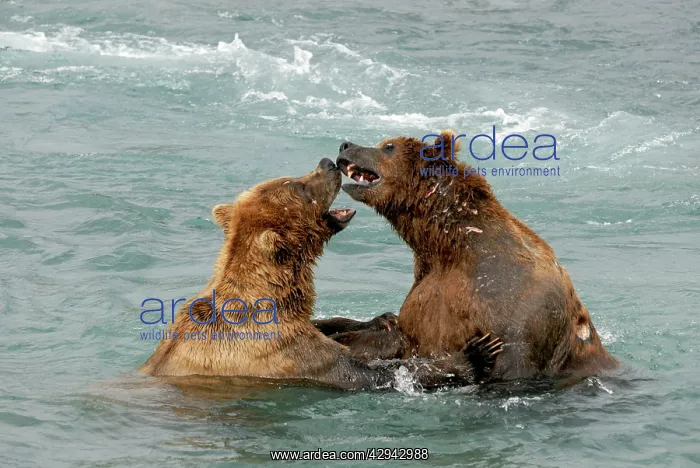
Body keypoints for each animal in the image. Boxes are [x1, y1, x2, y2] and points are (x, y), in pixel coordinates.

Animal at [139, 158, 504, 390]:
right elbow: (364, 371)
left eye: (289, 177)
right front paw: (476, 352)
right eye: (296, 186)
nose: (327, 162)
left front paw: (381, 320)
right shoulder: (281, 352)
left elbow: (327, 326)